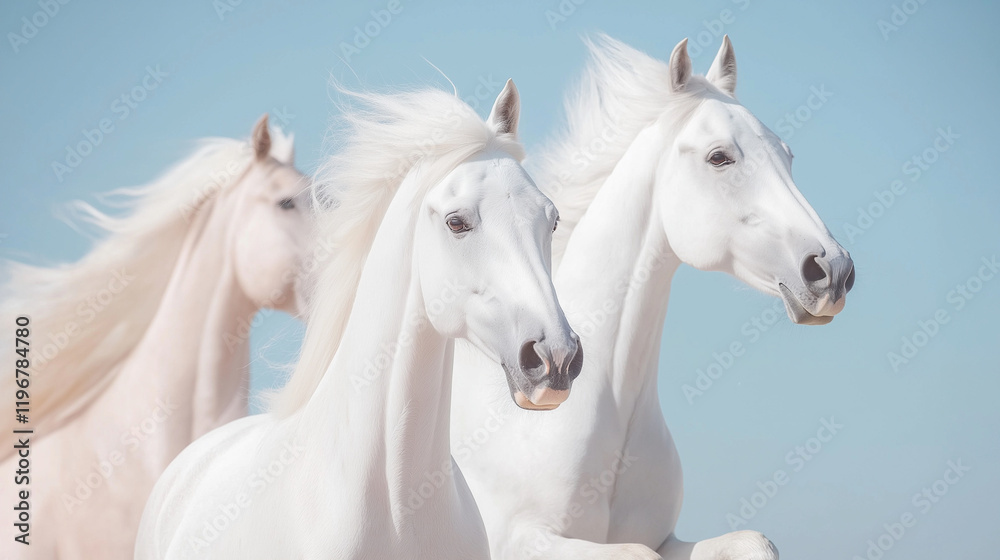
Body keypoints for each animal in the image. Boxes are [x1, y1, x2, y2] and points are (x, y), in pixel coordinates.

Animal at [450, 36, 856, 560]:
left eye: (787, 154)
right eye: (719, 157)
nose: (833, 271)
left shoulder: (668, 540)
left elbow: (755, 543)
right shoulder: (523, 539)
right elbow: (635, 554)